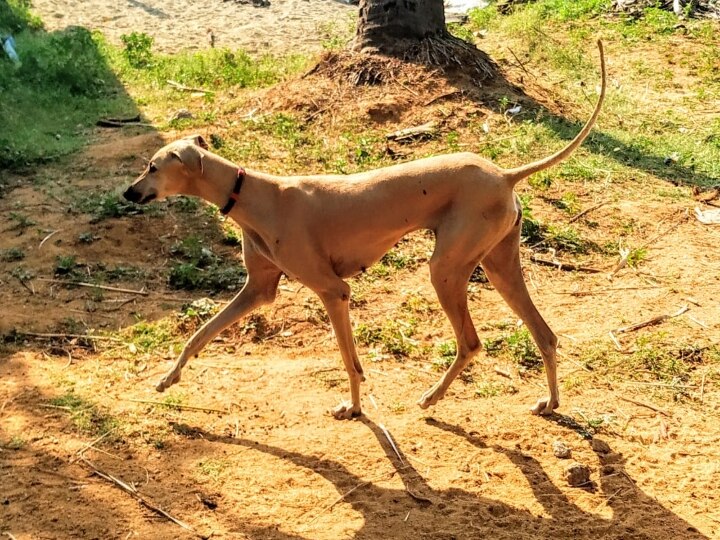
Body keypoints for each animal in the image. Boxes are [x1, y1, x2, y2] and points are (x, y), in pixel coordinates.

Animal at [126, 42, 604, 420]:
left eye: (152, 166)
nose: (129, 193)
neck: (252, 192)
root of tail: (504, 174)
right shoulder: (258, 290)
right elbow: (199, 334)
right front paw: (167, 379)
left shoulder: (334, 291)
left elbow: (349, 360)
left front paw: (353, 408)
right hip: (498, 264)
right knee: (545, 334)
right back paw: (549, 403)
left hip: (446, 270)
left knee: (471, 343)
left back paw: (431, 398)